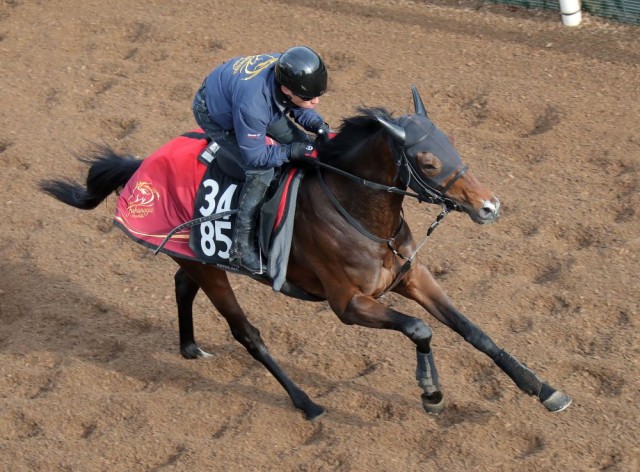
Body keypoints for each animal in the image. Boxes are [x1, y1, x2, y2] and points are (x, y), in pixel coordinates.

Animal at [40, 86, 568, 418]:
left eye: (450, 142)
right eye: (427, 160)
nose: (490, 206)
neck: (356, 210)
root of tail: (141, 166)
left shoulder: (411, 277)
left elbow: (473, 331)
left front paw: (543, 390)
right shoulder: (348, 304)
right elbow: (419, 329)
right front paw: (431, 393)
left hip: (200, 257)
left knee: (182, 284)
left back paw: (190, 347)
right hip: (215, 271)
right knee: (247, 333)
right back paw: (306, 402)